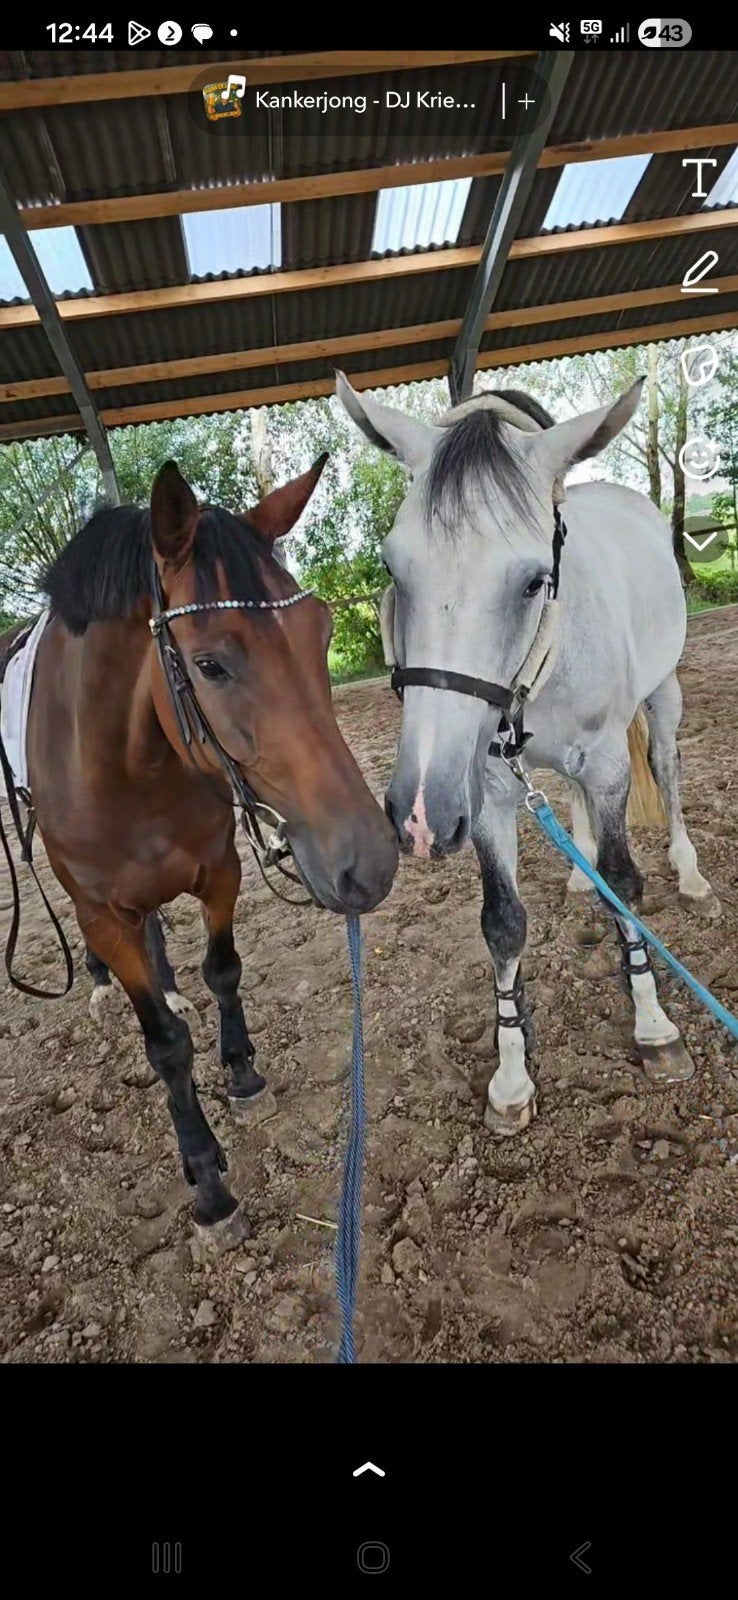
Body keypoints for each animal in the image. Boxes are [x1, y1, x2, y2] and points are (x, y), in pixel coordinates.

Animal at [9, 457, 398, 1246]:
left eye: (321, 632)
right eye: (211, 665)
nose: (369, 865)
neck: (129, 767)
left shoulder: (220, 869)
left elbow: (224, 970)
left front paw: (242, 1073)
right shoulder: (103, 911)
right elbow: (162, 1046)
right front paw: (208, 1178)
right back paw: (104, 983)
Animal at [337, 371, 716, 1135]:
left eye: (535, 579)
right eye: (393, 567)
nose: (419, 815)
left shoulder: (608, 769)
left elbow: (625, 886)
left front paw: (653, 1026)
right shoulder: (483, 793)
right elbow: (504, 924)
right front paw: (511, 1077)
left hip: (663, 694)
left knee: (666, 769)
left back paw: (688, 872)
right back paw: (576, 872)